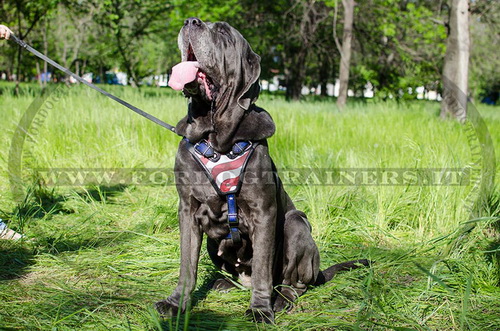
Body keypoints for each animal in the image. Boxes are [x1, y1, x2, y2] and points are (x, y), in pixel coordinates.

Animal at [154, 16, 370, 322]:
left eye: (223, 32)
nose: (190, 21)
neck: (216, 138)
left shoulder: (264, 212)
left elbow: (262, 271)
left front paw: (260, 309)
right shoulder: (187, 209)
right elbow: (187, 264)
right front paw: (176, 303)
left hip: (296, 223)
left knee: (293, 283)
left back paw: (280, 300)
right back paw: (224, 283)